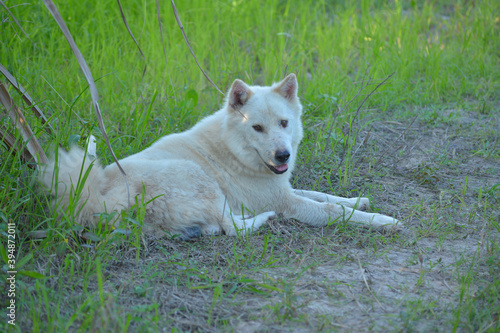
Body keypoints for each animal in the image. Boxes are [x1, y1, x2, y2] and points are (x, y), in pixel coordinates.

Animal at [44, 73, 402, 237]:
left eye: (284, 123)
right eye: (257, 127)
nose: (283, 156)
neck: (234, 151)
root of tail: (97, 198)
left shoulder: (282, 189)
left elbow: (323, 195)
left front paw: (358, 200)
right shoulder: (285, 201)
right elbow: (330, 210)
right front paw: (383, 220)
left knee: (219, 226)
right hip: (199, 177)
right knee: (231, 228)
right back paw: (265, 219)